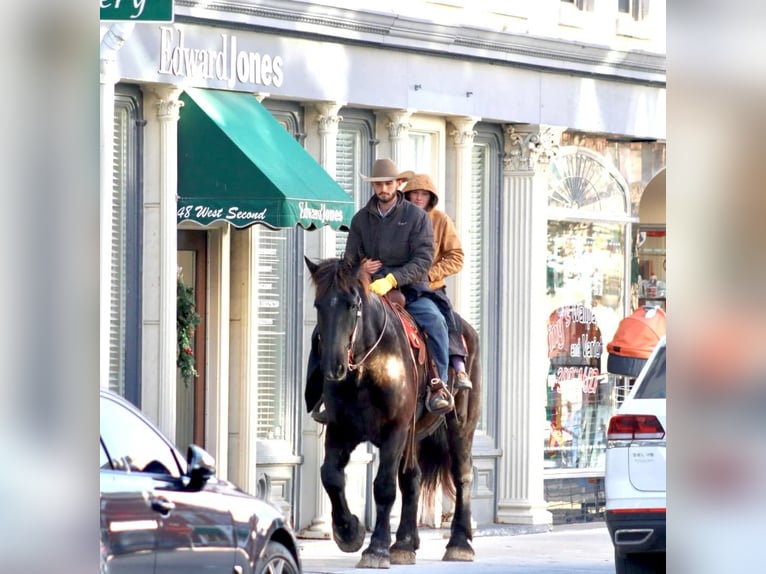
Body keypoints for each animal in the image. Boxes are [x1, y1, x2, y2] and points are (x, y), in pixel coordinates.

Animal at [304, 258, 480, 568]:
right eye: (318, 305)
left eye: (352, 304)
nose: (332, 367)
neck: (367, 367)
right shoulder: (341, 428)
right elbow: (331, 476)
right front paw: (349, 531)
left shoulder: (394, 430)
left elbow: (384, 487)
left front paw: (375, 549)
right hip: (415, 435)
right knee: (412, 478)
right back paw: (404, 544)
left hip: (461, 427)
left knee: (463, 475)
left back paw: (459, 544)